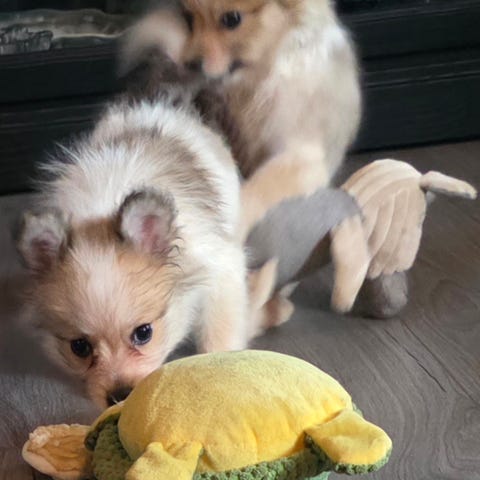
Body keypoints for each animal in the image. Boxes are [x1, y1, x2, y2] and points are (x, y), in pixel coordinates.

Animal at [17, 85, 250, 408]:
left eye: (143, 333)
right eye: (80, 347)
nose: (120, 395)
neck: (100, 214)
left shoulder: (221, 269)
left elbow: (220, 332)